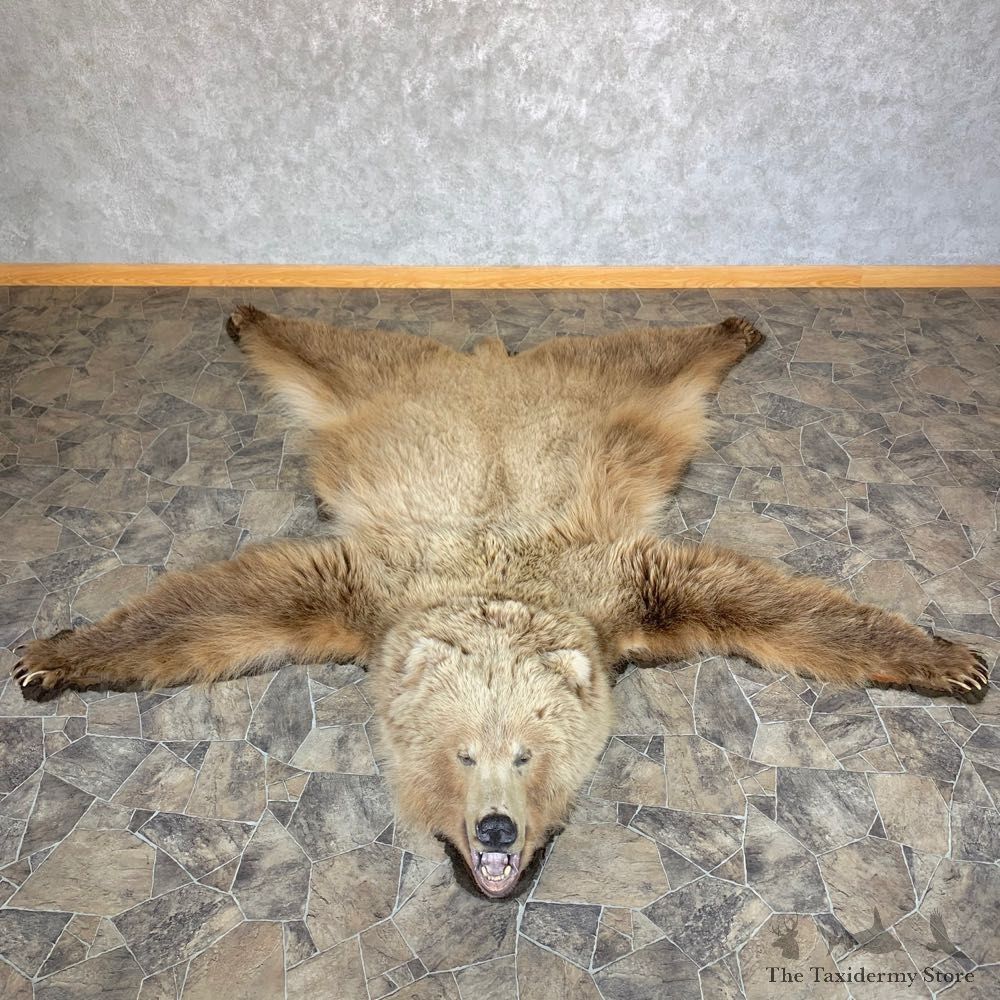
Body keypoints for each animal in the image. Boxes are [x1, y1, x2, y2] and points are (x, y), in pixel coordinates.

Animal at [13, 306, 990, 898]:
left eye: (528, 753)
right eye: (459, 753)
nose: (494, 830)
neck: (496, 586)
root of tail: (486, 363)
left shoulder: (621, 588)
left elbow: (759, 600)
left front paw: (946, 658)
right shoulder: (371, 586)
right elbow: (224, 603)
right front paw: (57, 654)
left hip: (607, 396)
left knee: (652, 357)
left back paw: (730, 324)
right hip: (378, 391)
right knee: (329, 348)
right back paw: (251, 314)